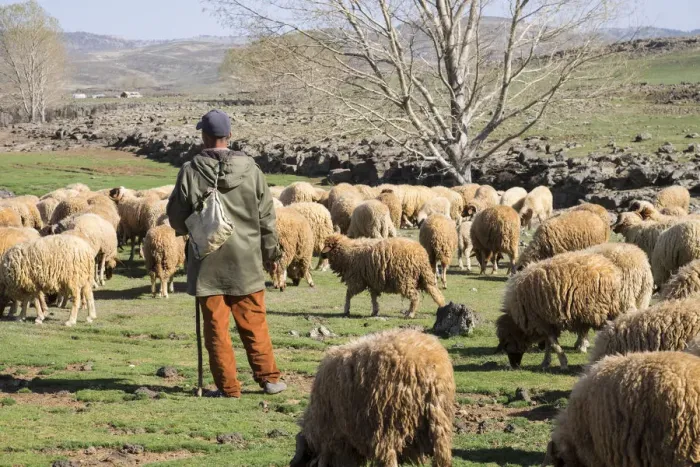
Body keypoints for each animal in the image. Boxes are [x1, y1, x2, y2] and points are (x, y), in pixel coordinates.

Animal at [496, 251, 628, 369]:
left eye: (507, 343)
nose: (514, 366)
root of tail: (610, 268)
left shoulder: (541, 321)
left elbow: (554, 344)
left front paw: (563, 363)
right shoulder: (548, 323)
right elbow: (549, 344)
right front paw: (545, 362)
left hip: (606, 310)